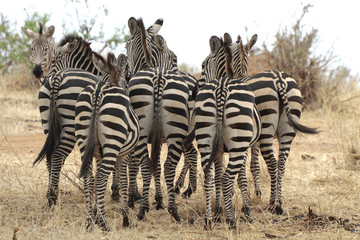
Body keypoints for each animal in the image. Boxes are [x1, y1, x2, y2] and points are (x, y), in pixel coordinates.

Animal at [75, 52, 139, 231]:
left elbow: (96, 181)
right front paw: (126, 219)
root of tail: (98, 91)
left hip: (84, 139)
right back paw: (104, 224)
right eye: (127, 80)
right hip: (113, 142)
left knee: (89, 177)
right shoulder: (124, 155)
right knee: (102, 176)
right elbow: (123, 181)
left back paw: (88, 222)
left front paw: (95, 214)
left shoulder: (98, 155)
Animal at [126, 17, 195, 222]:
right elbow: (155, 165)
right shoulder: (157, 138)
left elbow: (143, 165)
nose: (127, 74)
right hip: (177, 132)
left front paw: (138, 200)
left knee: (151, 164)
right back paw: (174, 207)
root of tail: (159, 77)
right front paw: (157, 201)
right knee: (169, 165)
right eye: (175, 58)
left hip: (148, 132)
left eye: (125, 46)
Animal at [187, 36, 260, 229]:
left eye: (203, 65)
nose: (194, 92)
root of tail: (221, 87)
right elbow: (241, 179)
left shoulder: (218, 150)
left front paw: (218, 211)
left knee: (208, 177)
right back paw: (232, 222)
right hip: (238, 143)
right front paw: (246, 212)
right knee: (227, 178)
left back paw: (208, 221)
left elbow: (217, 177)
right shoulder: (244, 148)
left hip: (205, 137)